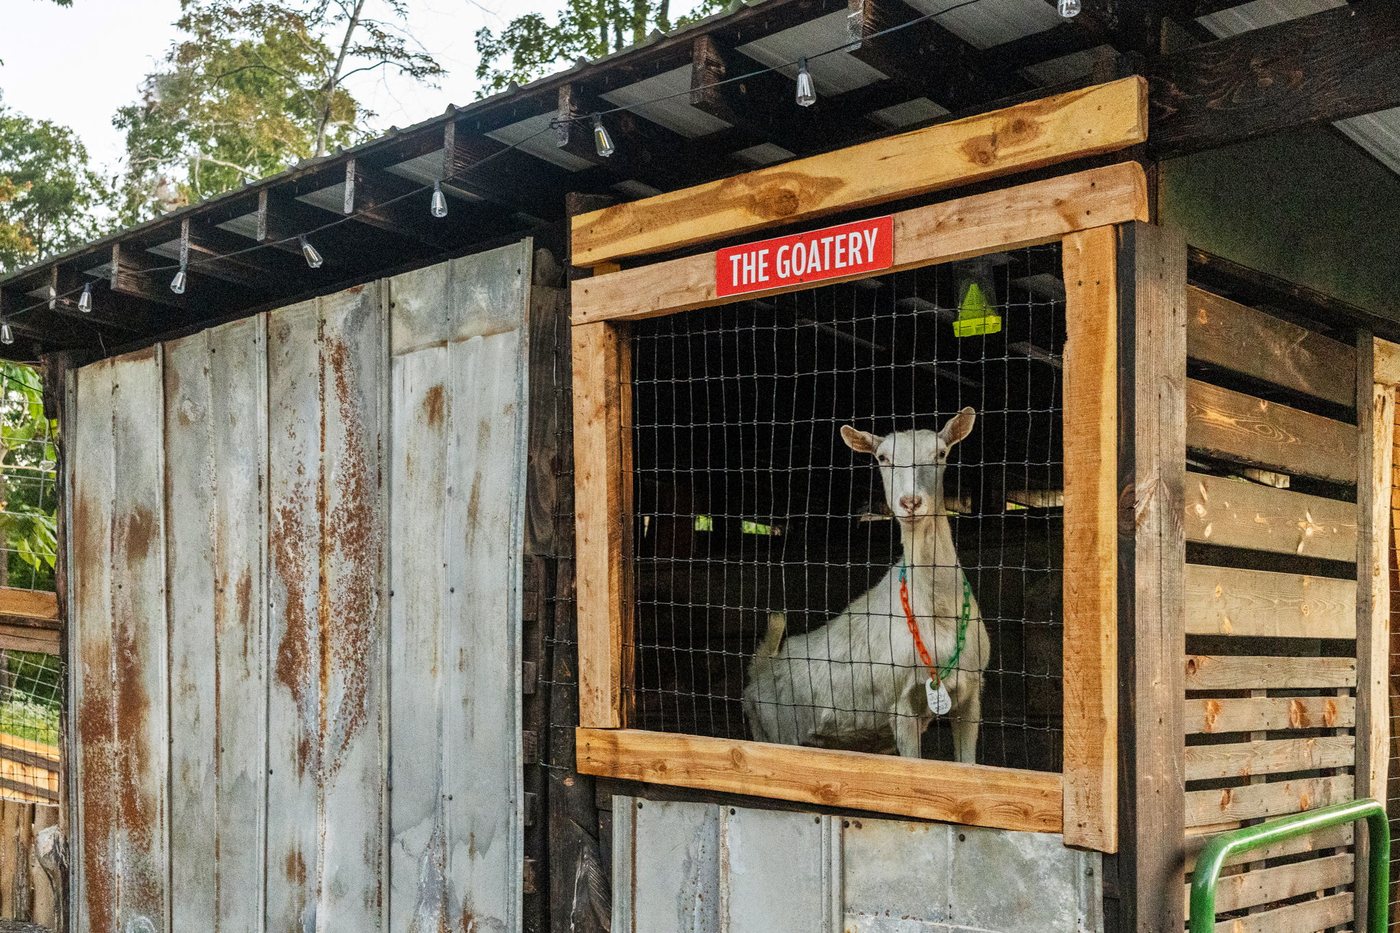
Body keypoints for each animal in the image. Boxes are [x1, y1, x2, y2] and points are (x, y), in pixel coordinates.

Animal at [743, 409, 991, 763]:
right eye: (883, 458)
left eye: (941, 453)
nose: (910, 502)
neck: (939, 614)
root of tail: (759, 669)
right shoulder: (901, 701)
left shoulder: (970, 693)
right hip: (775, 729)